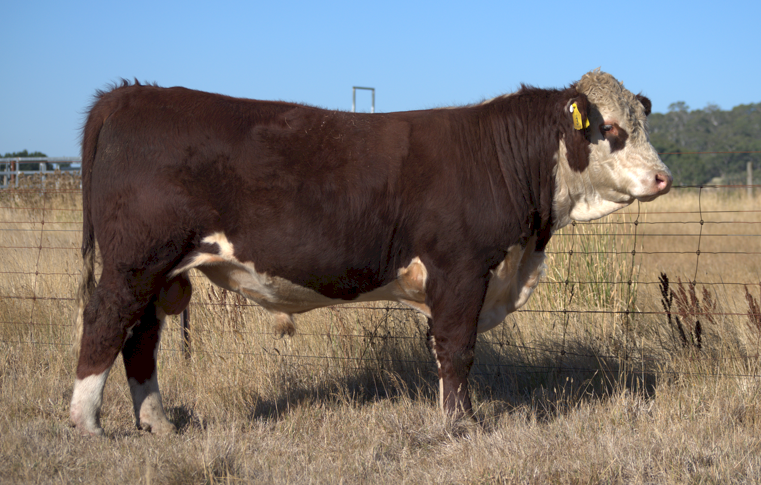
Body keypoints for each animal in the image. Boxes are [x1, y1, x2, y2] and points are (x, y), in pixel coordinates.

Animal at [70, 69, 671, 436]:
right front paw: (460, 425)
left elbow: (445, 351)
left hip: (156, 272)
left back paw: (158, 424)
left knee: (140, 338)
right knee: (104, 323)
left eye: (643, 122)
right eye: (610, 128)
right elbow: (458, 350)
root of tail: (130, 93)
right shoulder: (461, 269)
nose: (663, 177)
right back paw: (87, 425)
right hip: (134, 262)